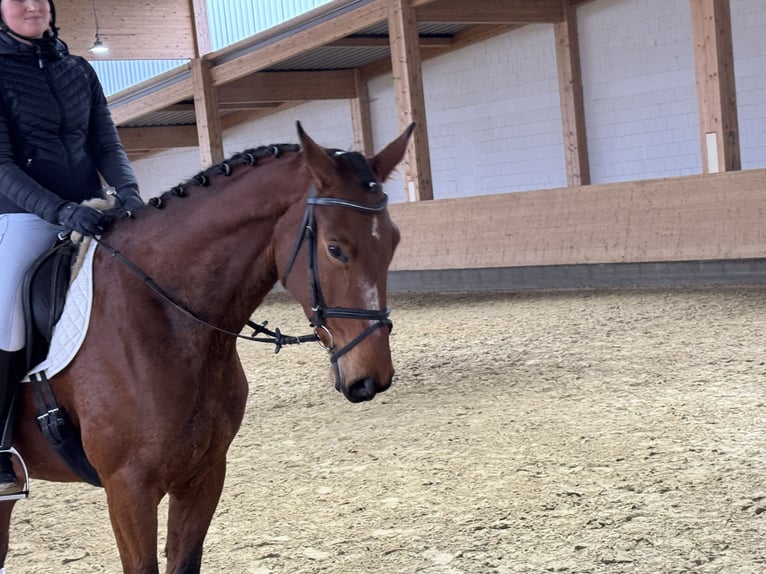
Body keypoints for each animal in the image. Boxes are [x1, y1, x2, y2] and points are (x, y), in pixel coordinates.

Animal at [0, 124, 414, 572]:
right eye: (335, 249)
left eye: (393, 242)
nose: (372, 378)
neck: (166, 318)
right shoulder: (128, 488)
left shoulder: (203, 475)